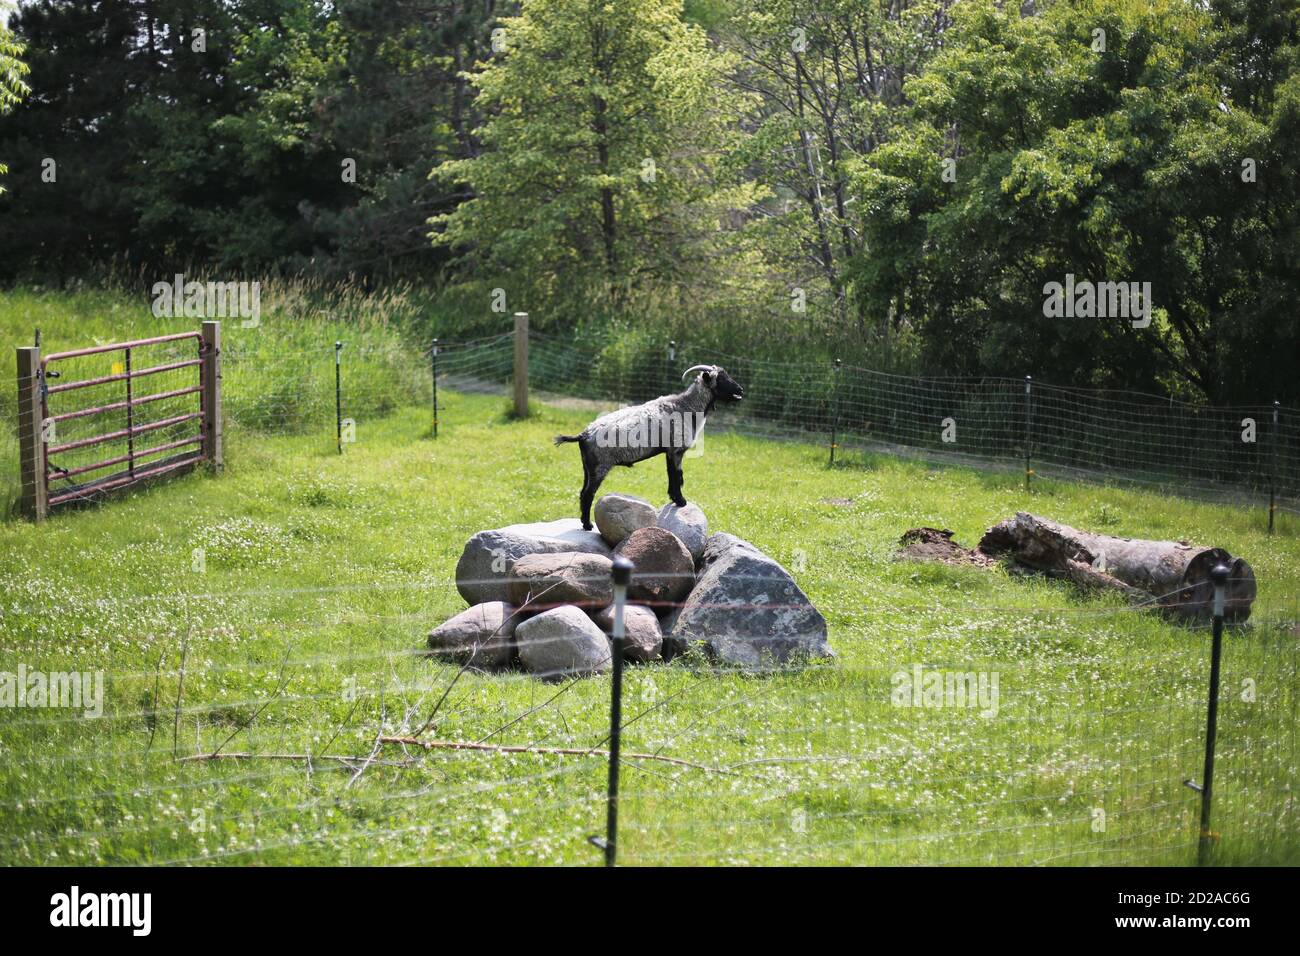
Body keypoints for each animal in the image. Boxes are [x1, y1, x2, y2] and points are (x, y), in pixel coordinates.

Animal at [554, 365, 744, 530]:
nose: (741, 390)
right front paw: (681, 501)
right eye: (721, 378)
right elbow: (677, 475)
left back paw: (584, 522)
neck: (686, 406)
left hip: (587, 468)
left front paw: (674, 498)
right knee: (588, 494)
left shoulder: (669, 452)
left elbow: (671, 474)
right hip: (600, 467)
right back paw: (587, 525)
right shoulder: (676, 450)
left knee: (582, 492)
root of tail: (583, 435)